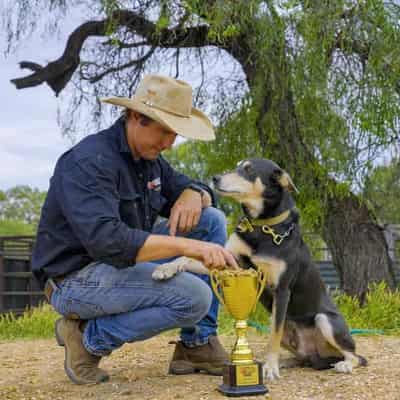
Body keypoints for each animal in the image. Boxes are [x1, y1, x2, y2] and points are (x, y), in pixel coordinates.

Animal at [152, 158, 368, 380]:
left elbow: (273, 336)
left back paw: (344, 364)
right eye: (237, 166)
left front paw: (270, 368)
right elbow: (186, 256)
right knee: (304, 357)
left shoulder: (282, 290)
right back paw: (286, 362)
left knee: (356, 356)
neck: (261, 226)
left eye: (248, 170)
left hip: (324, 320)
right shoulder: (231, 263)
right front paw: (165, 268)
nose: (215, 178)